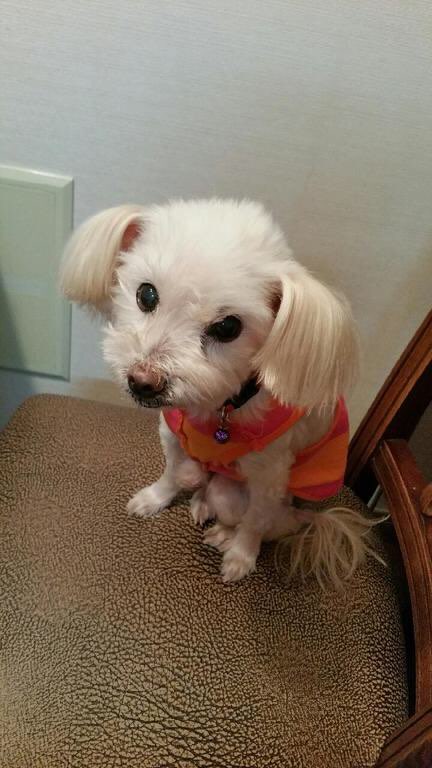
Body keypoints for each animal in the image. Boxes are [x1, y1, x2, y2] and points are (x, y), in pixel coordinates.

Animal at [60, 198, 378, 588]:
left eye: (228, 327)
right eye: (146, 294)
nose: (143, 381)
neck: (219, 407)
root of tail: (308, 518)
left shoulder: (270, 477)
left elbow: (255, 523)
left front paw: (241, 557)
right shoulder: (172, 435)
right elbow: (170, 474)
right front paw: (153, 499)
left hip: (246, 499)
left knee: (266, 524)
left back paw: (225, 535)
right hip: (205, 476)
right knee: (194, 480)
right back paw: (199, 503)